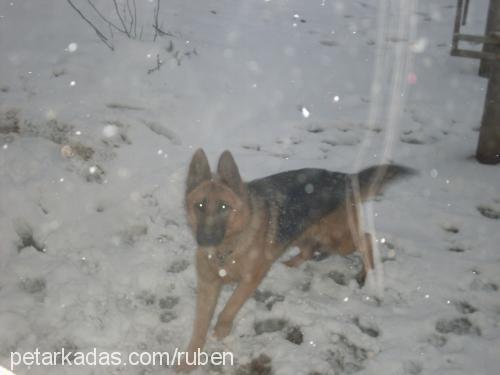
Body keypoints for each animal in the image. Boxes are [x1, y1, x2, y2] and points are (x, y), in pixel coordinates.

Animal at [180, 148, 414, 372]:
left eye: (223, 207)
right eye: (199, 206)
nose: (205, 239)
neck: (229, 248)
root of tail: (343, 177)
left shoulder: (250, 279)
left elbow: (230, 306)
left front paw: (221, 330)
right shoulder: (207, 285)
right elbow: (199, 325)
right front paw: (189, 359)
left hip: (338, 240)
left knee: (366, 238)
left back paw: (368, 274)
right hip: (302, 232)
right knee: (309, 250)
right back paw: (290, 264)